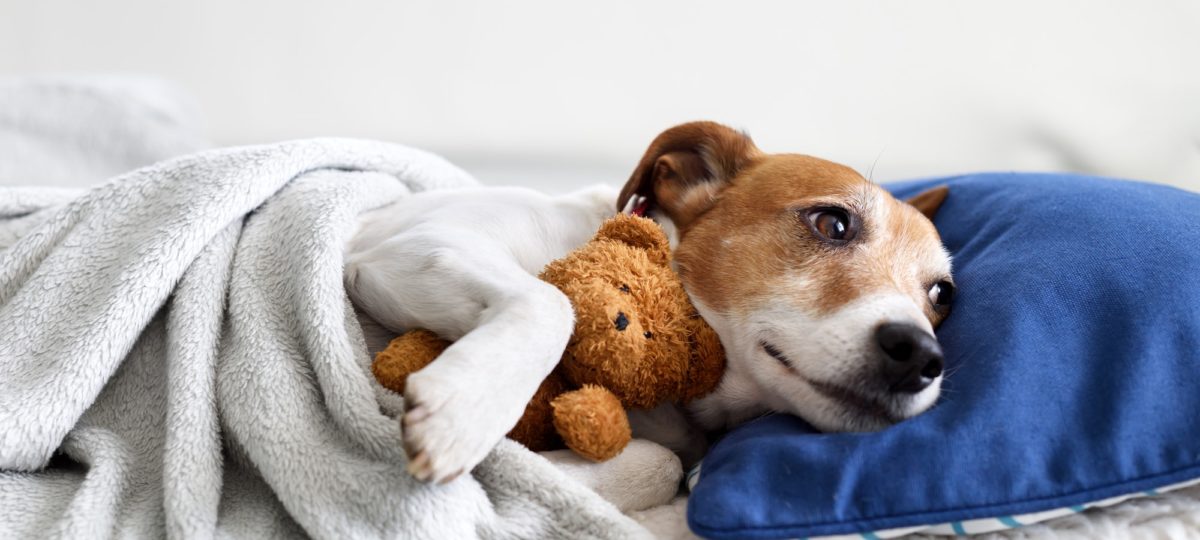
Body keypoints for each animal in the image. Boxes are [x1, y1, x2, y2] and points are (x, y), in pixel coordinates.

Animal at [343, 122, 950, 484]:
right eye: (833, 223)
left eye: (942, 293)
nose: (920, 357)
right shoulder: (412, 247)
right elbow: (551, 304)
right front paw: (463, 413)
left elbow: (657, 463)